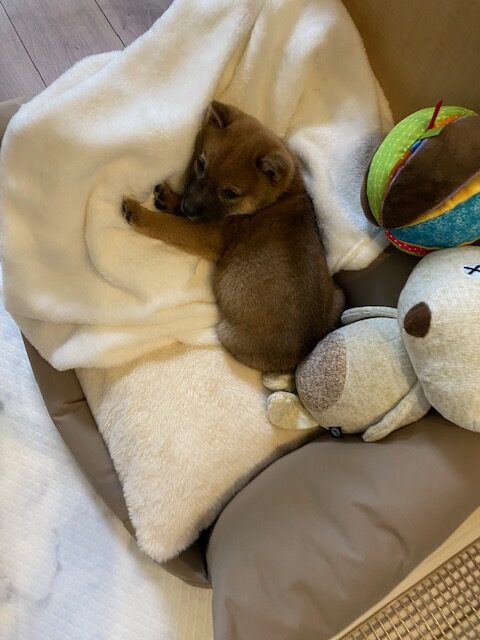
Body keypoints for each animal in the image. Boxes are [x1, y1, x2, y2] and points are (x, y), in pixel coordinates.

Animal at [122, 101, 344, 372]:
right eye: (201, 164)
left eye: (230, 193)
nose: (188, 207)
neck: (276, 199)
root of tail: (302, 356)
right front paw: (171, 199)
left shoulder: (208, 233)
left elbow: (170, 225)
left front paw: (138, 213)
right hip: (338, 296)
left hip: (226, 332)